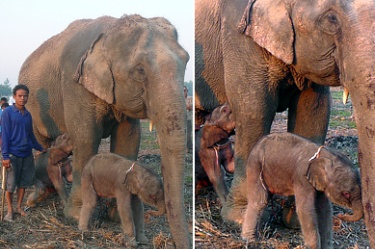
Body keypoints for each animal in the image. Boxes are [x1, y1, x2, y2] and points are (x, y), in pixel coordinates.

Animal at [19, 14, 191, 249]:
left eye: (187, 60)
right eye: (140, 70)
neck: (110, 29)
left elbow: (129, 138)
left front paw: (115, 215)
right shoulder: (74, 84)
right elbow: (85, 136)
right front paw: (76, 216)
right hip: (32, 108)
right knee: (41, 143)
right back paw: (40, 195)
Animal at [197, 0, 375, 245]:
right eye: (331, 19)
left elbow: (314, 110)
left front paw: (294, 221)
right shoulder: (236, 31)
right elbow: (254, 108)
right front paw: (238, 220)